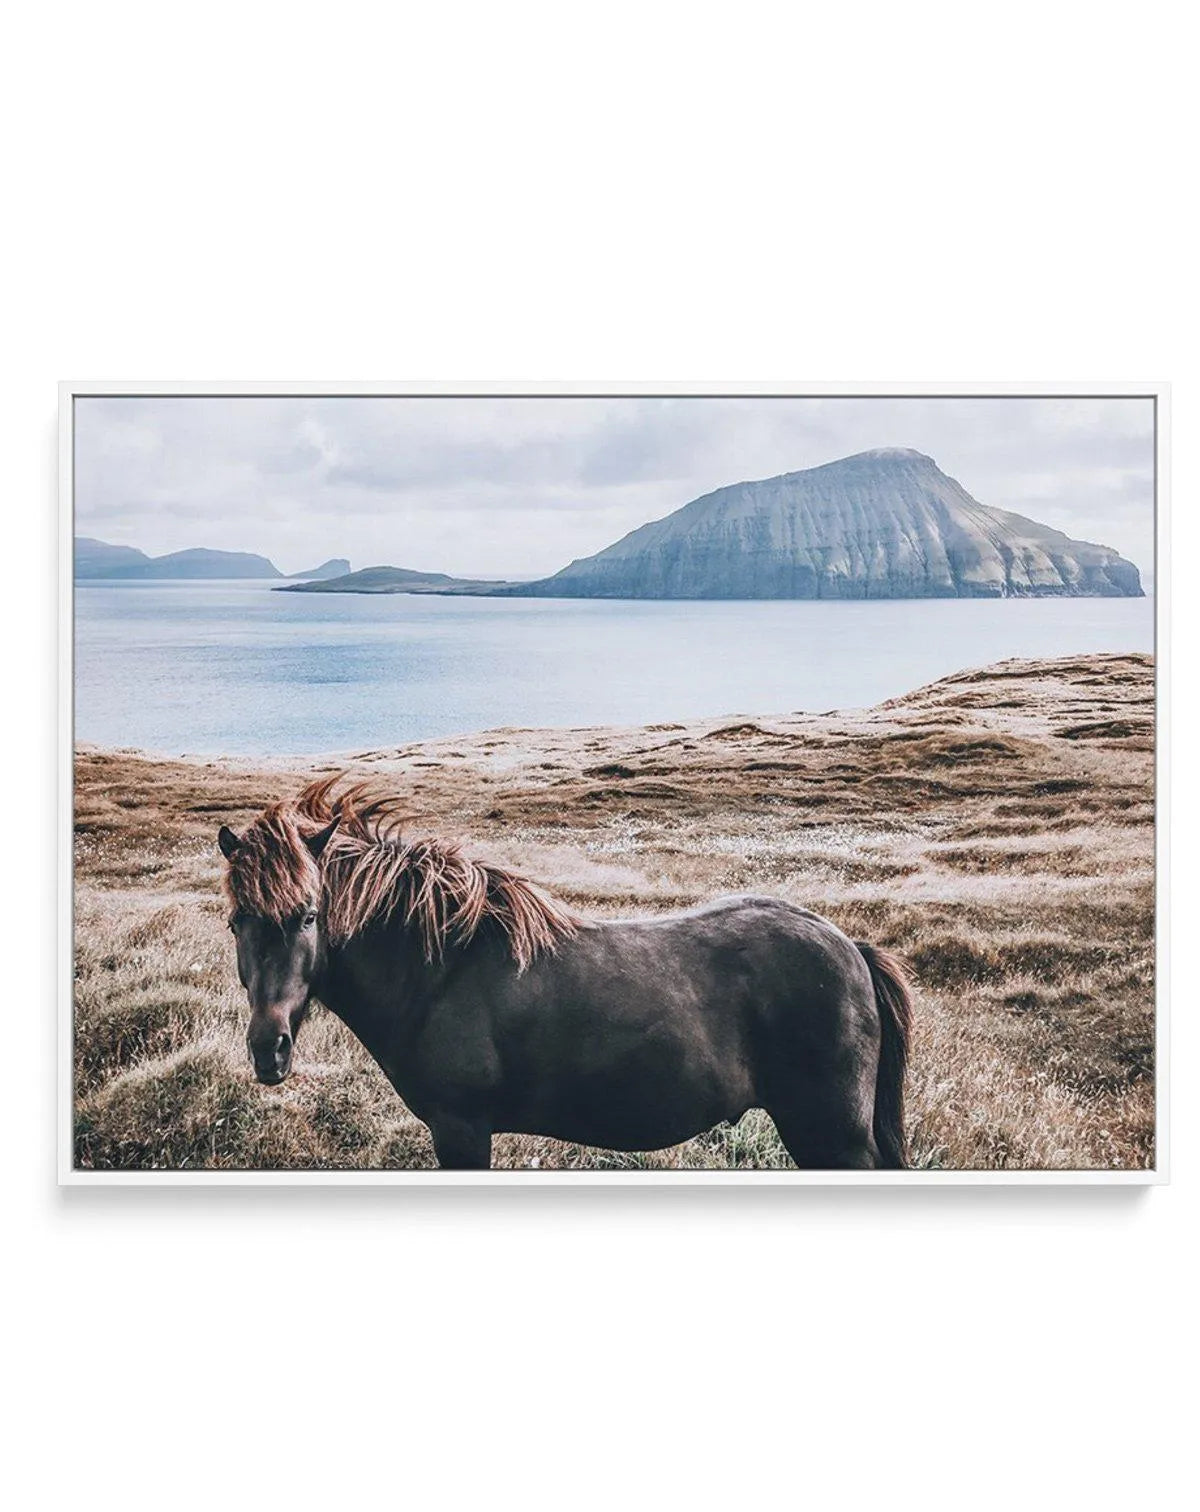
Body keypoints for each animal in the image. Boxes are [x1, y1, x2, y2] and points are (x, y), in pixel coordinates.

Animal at [217, 776, 915, 1170]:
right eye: (235, 923)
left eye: (309, 916)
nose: (268, 1051)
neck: (440, 971)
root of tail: (850, 947)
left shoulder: (461, 1130)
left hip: (831, 1135)